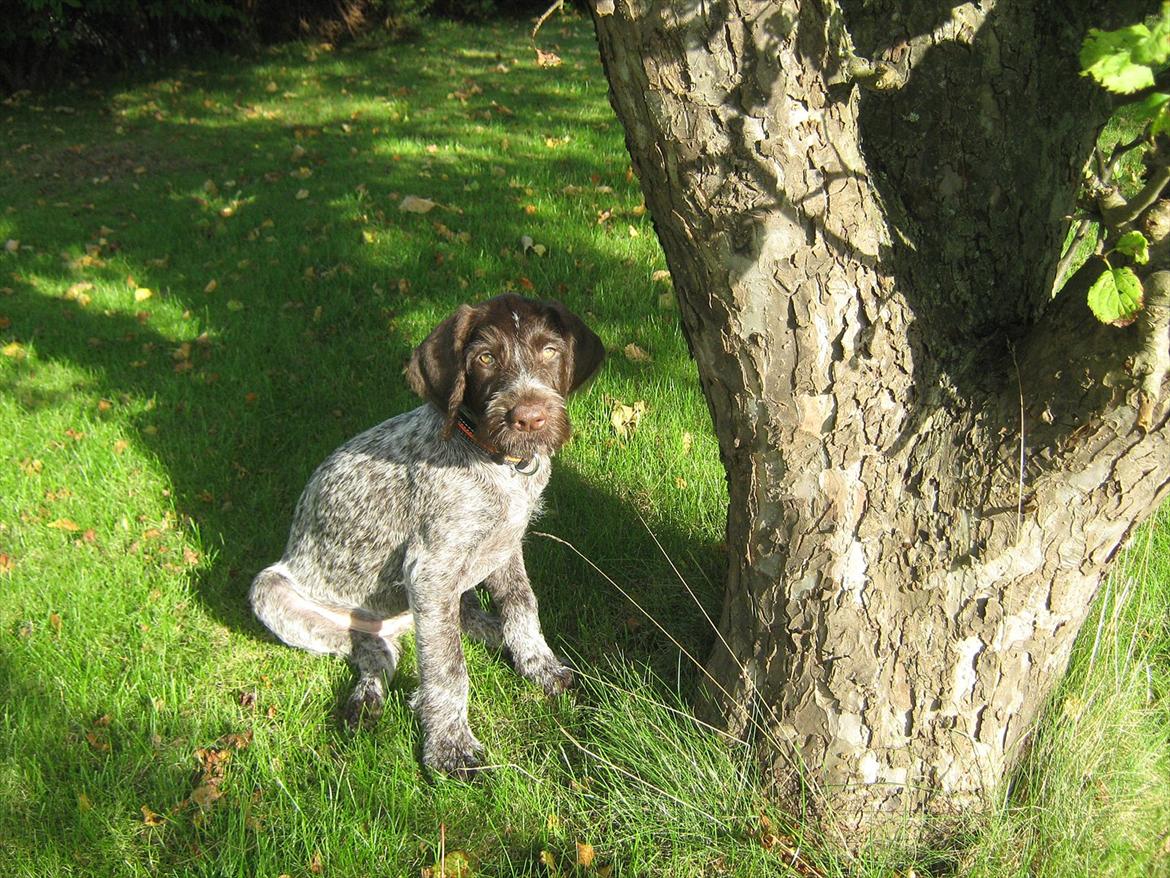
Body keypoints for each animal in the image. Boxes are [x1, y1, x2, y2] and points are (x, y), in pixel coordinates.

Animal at [246, 293, 603, 777]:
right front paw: (450, 746)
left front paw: (539, 665)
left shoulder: (504, 547)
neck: (497, 461)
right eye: (485, 358)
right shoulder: (430, 573)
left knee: (451, 626)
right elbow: (448, 668)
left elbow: (522, 608)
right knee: (382, 654)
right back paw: (366, 700)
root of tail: (398, 624)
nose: (529, 419)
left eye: (550, 351)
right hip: (279, 594)